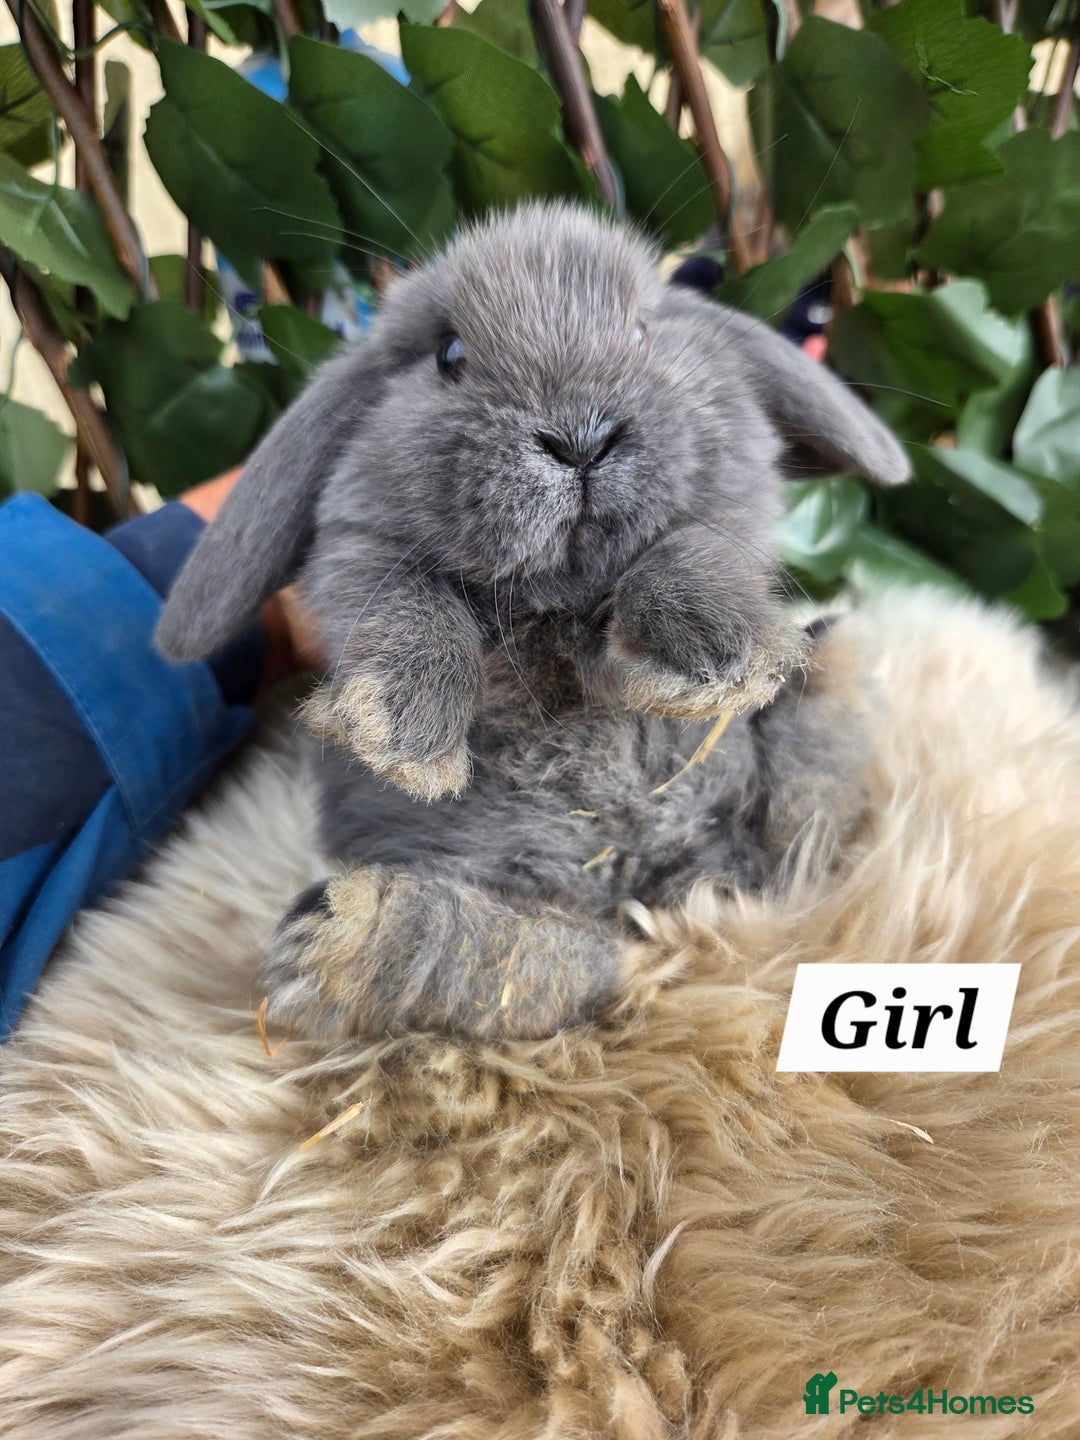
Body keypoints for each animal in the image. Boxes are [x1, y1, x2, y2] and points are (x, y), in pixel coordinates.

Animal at [156, 203, 910, 1043]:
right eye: (449, 354)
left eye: (642, 334)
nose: (580, 439)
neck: (559, 603)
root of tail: (641, 897)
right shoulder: (361, 555)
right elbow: (412, 609)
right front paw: (400, 737)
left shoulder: (721, 526)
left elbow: (688, 552)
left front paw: (715, 661)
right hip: (534, 912)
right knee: (540, 962)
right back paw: (343, 942)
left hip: (741, 843)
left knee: (796, 832)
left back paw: (828, 659)